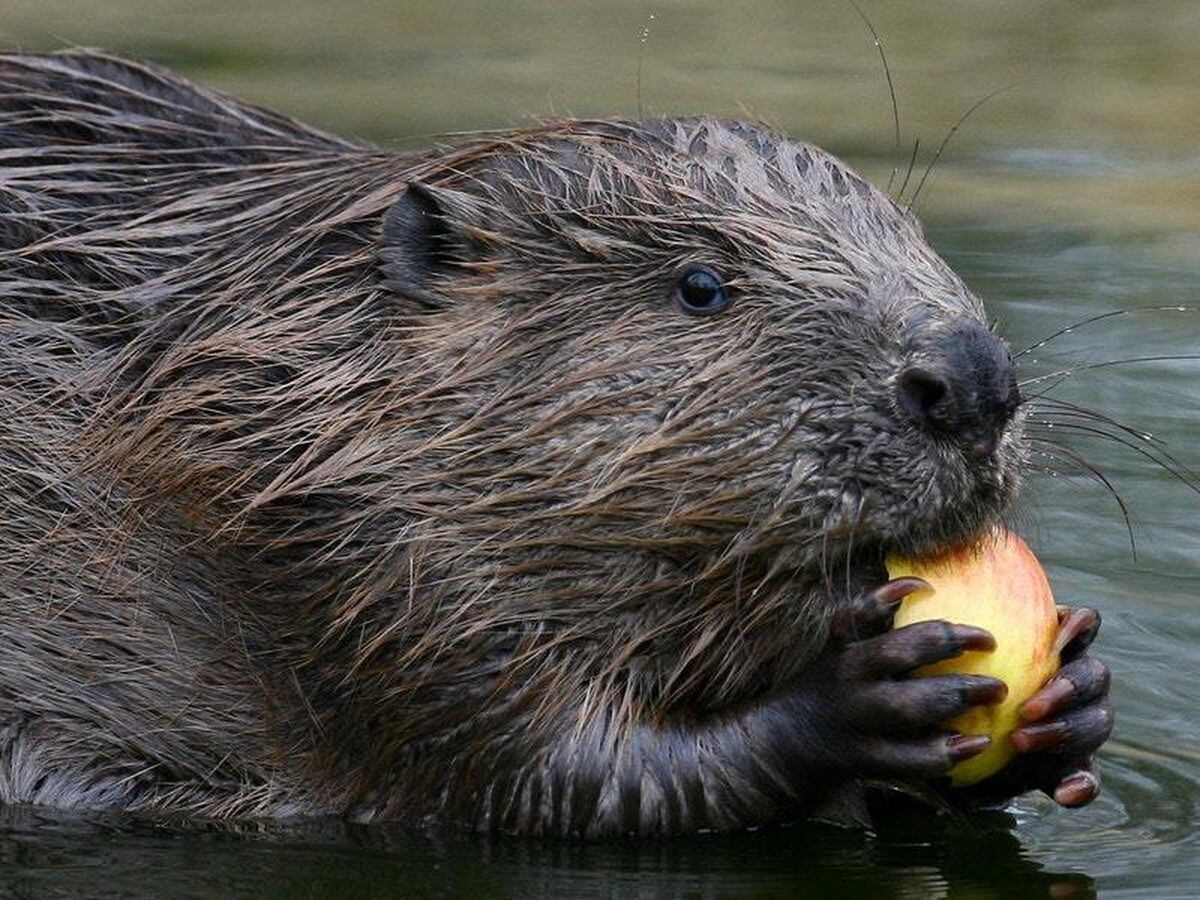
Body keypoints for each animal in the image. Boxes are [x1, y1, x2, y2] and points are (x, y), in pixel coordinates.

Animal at [0, 51, 1108, 840]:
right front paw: (860, 696)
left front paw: (1073, 695)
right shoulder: (361, 568)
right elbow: (564, 779)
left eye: (913, 238)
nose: (971, 381)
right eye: (700, 284)